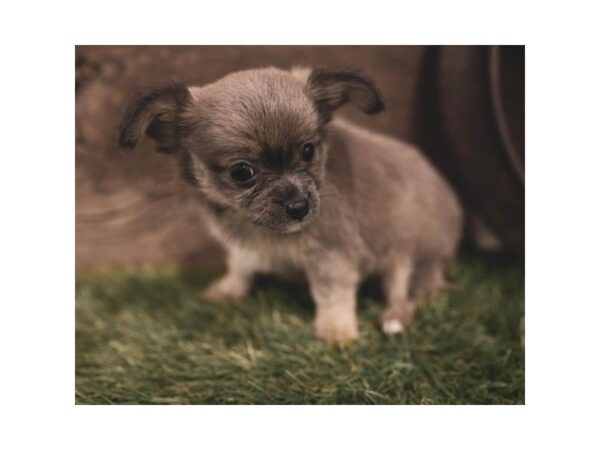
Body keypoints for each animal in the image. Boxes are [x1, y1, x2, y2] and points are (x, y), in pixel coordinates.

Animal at [118, 65, 464, 342]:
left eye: (309, 151)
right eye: (242, 172)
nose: (299, 206)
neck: (262, 230)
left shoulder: (332, 254)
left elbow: (331, 292)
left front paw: (335, 329)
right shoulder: (244, 246)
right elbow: (240, 264)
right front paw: (231, 288)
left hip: (408, 254)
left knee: (406, 291)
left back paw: (394, 316)